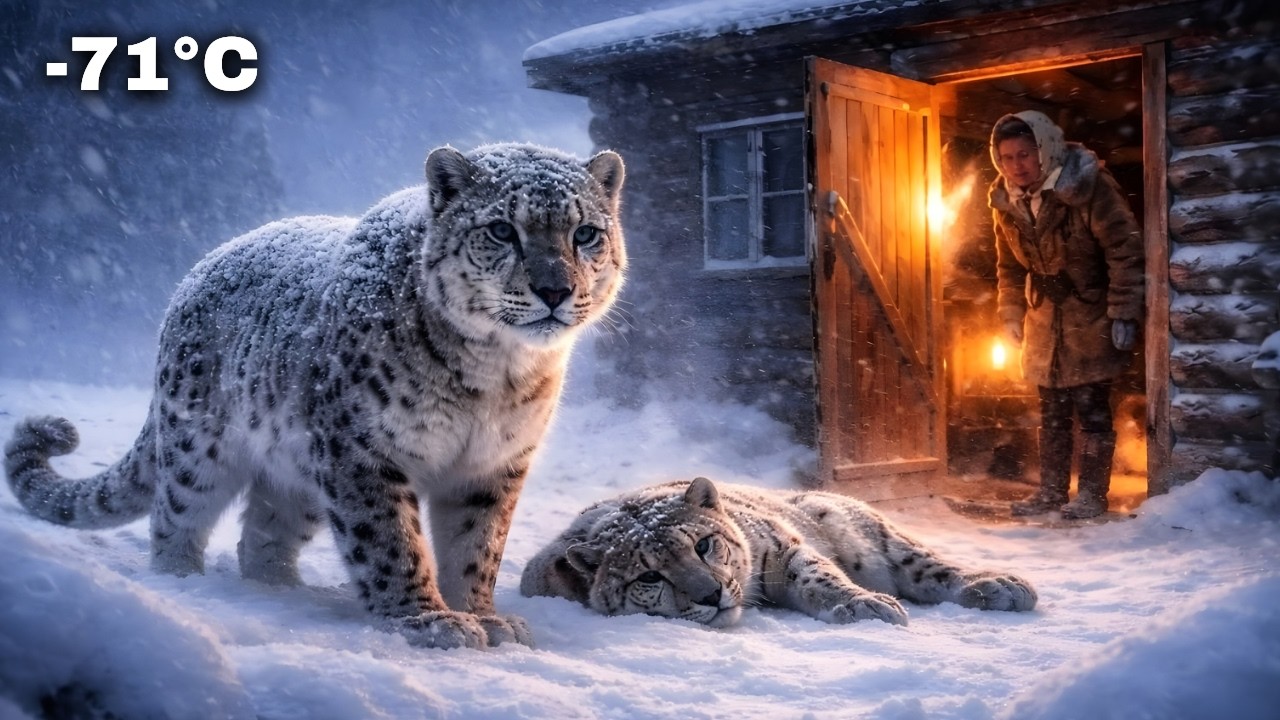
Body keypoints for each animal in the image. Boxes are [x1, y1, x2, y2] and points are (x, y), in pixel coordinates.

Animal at [5, 143, 626, 650]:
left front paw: (486, 617)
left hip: (296, 471)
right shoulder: (364, 449)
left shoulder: (493, 465)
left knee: (263, 535)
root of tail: (197, 272)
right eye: (501, 230)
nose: (554, 289)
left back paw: (281, 592)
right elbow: (389, 539)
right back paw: (181, 582)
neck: (495, 375)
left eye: (585, 233)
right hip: (197, 447)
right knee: (175, 515)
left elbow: (478, 546)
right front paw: (427, 620)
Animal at [521, 477, 1036, 627]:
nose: (710, 595)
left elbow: (818, 577)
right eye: (648, 576)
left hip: (879, 541)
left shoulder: (783, 549)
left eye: (703, 544)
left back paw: (1000, 585)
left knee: (929, 567)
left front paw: (863, 605)